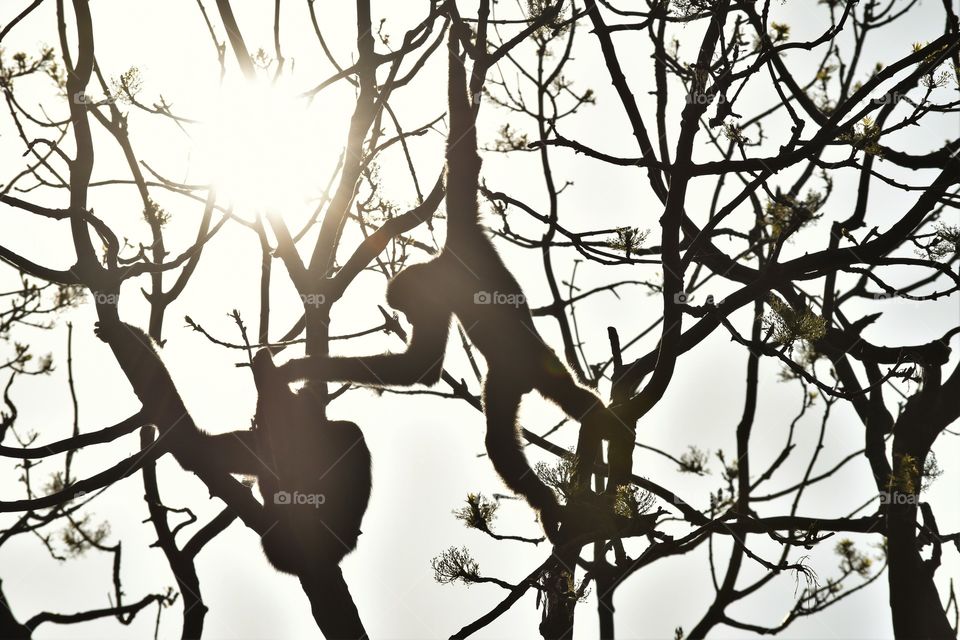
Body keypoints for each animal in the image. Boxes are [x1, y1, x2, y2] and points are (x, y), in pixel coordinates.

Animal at [279, 27, 630, 541]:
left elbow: (462, 155)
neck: (441, 265)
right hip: (528, 371)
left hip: (518, 368)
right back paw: (586, 458)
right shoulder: (465, 233)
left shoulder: (455, 247)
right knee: (550, 414)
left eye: (407, 309)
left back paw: (570, 477)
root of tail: (528, 369)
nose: (404, 318)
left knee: (525, 427)